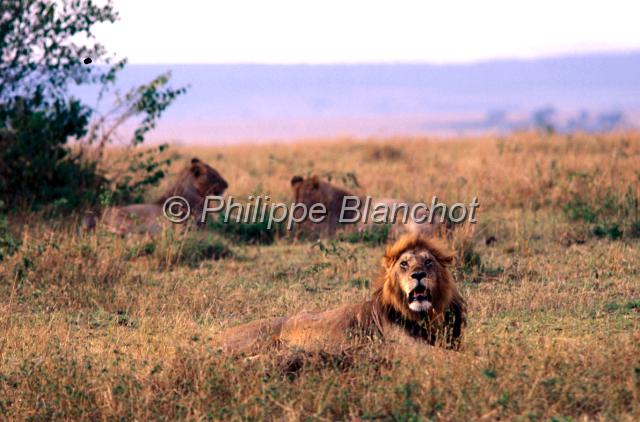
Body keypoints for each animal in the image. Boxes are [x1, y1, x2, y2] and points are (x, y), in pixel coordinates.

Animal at [213, 234, 466, 354]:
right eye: (404, 264)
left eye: (428, 261)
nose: (418, 274)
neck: (427, 317)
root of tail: (217, 336)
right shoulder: (410, 349)